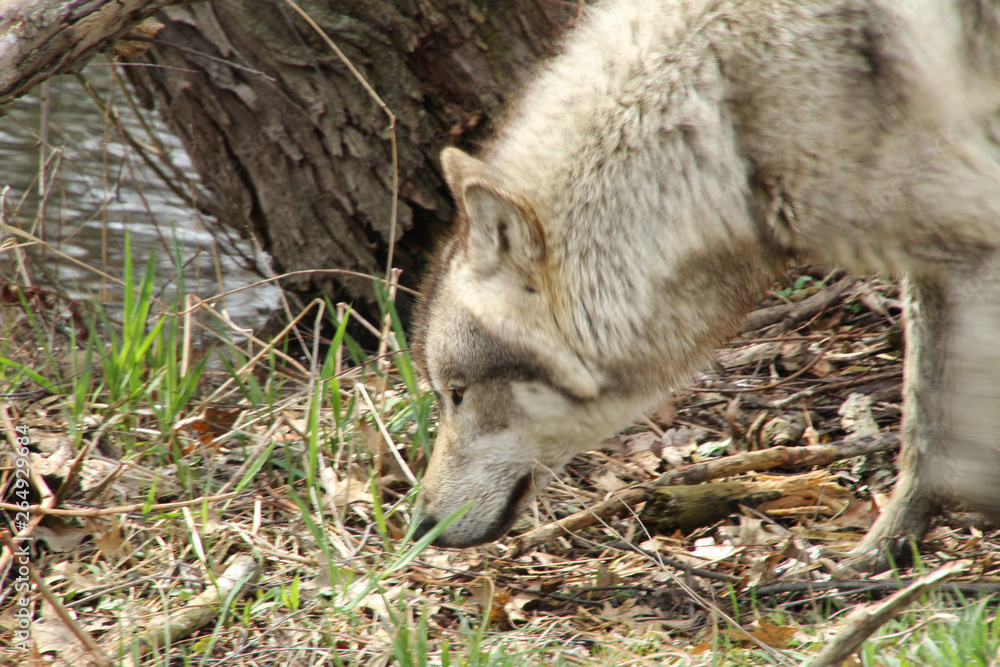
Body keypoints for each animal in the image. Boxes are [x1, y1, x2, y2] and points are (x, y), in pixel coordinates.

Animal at [410, 0, 1000, 558]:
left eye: (457, 395)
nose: (419, 526)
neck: (726, 115)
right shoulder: (932, 255)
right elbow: (922, 422)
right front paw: (890, 545)